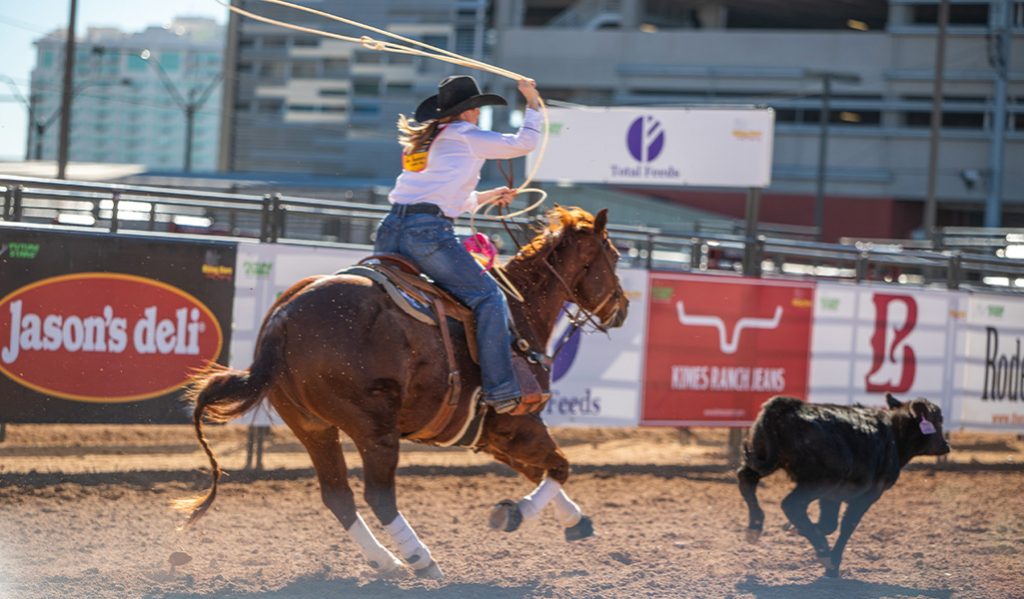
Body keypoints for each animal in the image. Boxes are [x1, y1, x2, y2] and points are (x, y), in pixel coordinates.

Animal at [176, 206, 629, 579]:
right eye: (614, 256)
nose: (622, 308)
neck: (519, 311)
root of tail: (284, 317)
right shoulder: (519, 425)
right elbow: (559, 466)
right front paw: (515, 513)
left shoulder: (492, 437)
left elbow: (542, 470)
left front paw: (576, 520)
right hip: (374, 427)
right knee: (378, 495)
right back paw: (421, 559)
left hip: (312, 426)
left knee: (338, 495)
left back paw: (386, 561)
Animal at [736, 393, 951, 578]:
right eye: (938, 420)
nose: (946, 445)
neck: (894, 437)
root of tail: (788, 405)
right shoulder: (866, 497)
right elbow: (847, 527)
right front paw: (833, 564)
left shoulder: (832, 497)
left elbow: (829, 523)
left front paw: (797, 529)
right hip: (819, 481)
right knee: (791, 504)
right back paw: (822, 551)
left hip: (765, 456)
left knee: (746, 478)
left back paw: (755, 527)